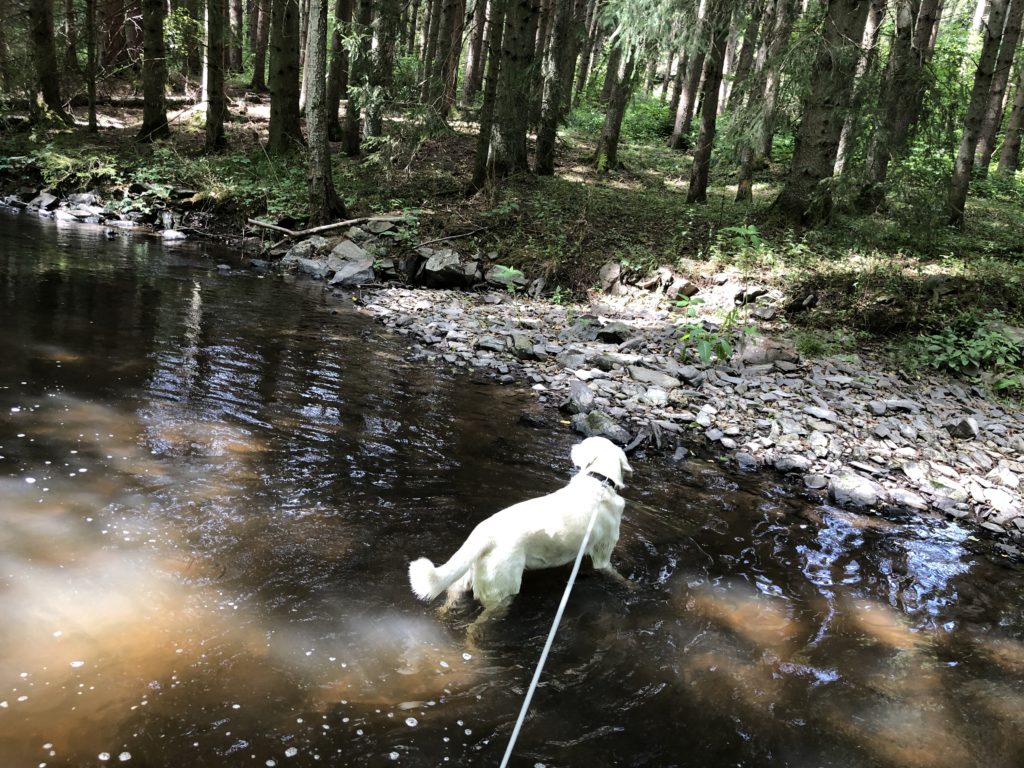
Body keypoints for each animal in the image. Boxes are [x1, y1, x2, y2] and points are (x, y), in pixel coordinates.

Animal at [407, 438, 630, 638]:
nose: (573, 446)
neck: (600, 481)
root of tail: (484, 534)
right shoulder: (603, 556)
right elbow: (615, 574)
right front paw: (630, 586)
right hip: (502, 596)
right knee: (474, 627)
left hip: (466, 578)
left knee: (450, 598)